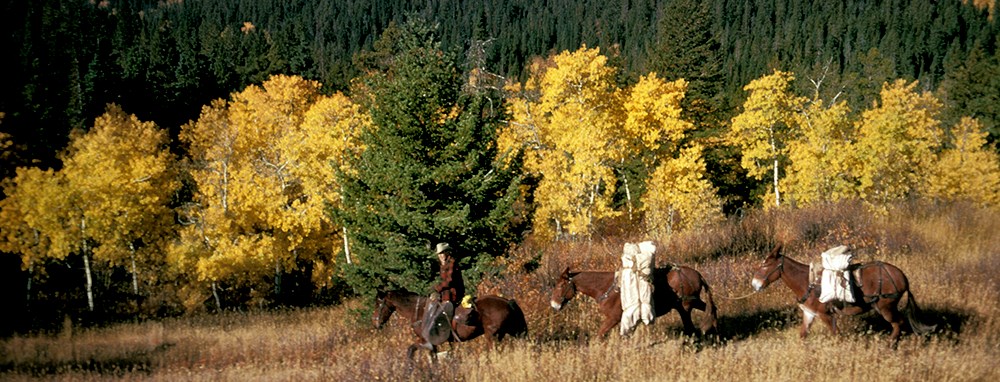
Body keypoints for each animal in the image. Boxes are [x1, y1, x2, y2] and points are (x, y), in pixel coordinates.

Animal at [374, 290, 528, 360]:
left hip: (493, 336)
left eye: (378, 304)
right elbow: (433, 358)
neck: (420, 311)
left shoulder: (425, 341)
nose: (375, 324)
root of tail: (507, 302)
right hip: (510, 331)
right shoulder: (431, 344)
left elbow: (411, 350)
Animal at [548, 266, 720, 338]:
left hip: (685, 307)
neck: (606, 288)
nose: (554, 304)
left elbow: (599, 335)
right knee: (711, 309)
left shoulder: (613, 318)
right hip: (692, 302)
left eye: (561, 285)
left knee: (691, 327)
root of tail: (697, 274)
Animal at [752, 245, 936, 344]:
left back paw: (891, 346)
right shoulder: (809, 313)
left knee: (899, 323)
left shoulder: (826, 315)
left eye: (765, 266)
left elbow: (837, 336)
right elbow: (803, 335)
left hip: (886, 307)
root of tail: (902, 276)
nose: (754, 284)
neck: (808, 281)